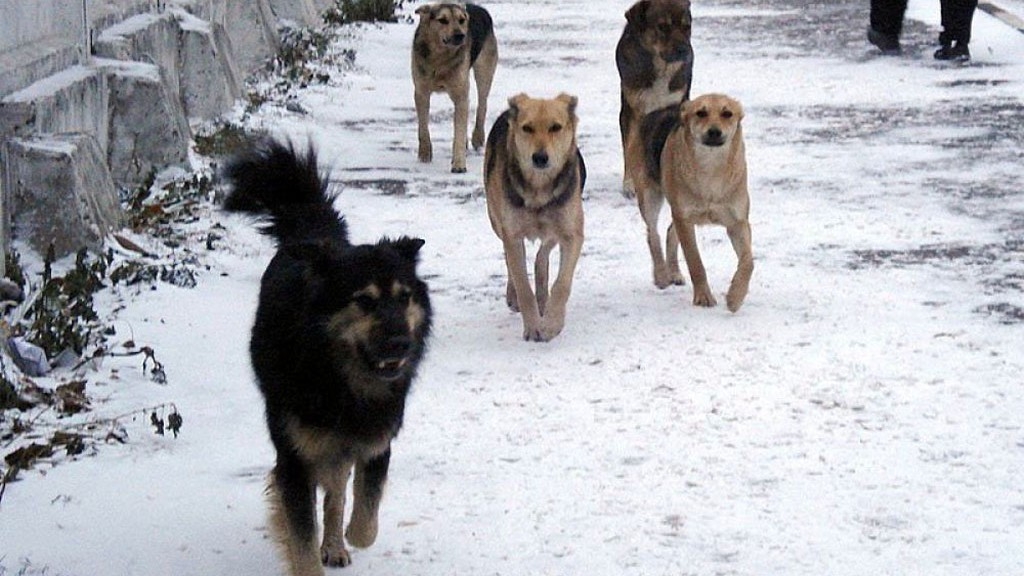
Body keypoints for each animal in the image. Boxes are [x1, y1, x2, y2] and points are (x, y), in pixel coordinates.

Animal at [222, 138, 432, 576]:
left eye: (404, 297)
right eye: (364, 301)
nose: (401, 344)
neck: (340, 378)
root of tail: (316, 235)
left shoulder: (374, 442)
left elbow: (364, 515)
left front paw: (348, 535)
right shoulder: (296, 457)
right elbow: (301, 533)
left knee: (337, 492)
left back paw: (335, 544)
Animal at [412, 2, 498, 173]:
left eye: (461, 20)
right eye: (442, 20)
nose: (460, 36)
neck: (440, 59)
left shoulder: (460, 93)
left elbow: (459, 131)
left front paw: (459, 164)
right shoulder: (421, 91)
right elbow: (423, 125)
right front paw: (424, 153)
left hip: (484, 69)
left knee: (482, 104)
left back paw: (477, 137)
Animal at [484, 93, 587, 342]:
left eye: (555, 127)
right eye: (527, 128)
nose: (540, 158)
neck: (539, 189)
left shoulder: (572, 233)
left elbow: (561, 284)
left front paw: (552, 324)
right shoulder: (511, 233)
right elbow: (523, 285)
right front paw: (532, 326)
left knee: (543, 254)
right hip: (496, 220)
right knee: (512, 260)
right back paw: (514, 295)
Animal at [616, 0, 693, 198]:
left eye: (687, 27)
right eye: (662, 27)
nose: (685, 50)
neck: (661, 67)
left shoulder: (677, 104)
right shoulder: (632, 111)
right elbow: (629, 148)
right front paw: (630, 184)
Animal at [634, 93, 753, 311]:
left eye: (727, 113)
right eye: (701, 113)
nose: (714, 132)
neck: (711, 169)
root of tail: (660, 110)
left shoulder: (738, 222)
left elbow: (748, 261)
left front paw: (735, 297)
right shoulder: (685, 219)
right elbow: (695, 261)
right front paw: (704, 296)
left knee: (669, 231)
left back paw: (673, 272)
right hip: (649, 195)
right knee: (652, 234)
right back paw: (661, 275)